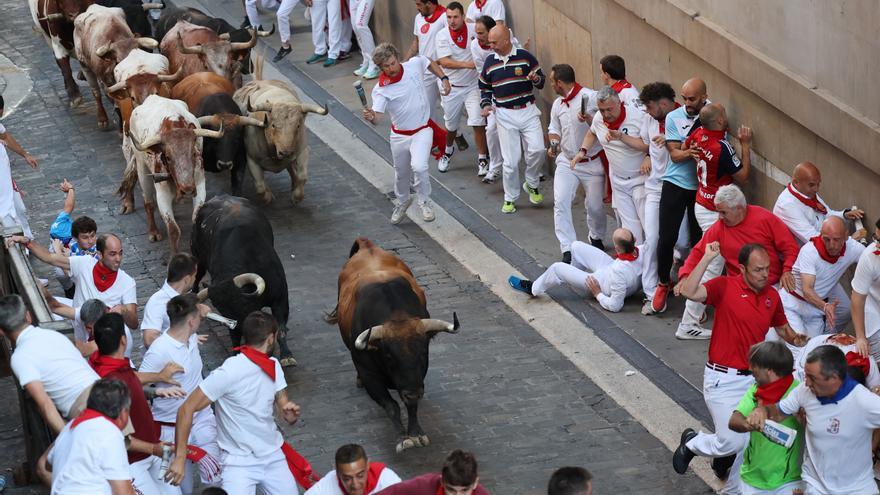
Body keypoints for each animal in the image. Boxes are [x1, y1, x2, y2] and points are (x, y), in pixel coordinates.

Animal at [191, 195, 294, 364]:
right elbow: (234, 337)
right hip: (198, 256)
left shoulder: (281, 298)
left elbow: (281, 329)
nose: (239, 327)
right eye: (220, 308)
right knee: (196, 276)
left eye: (241, 303)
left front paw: (287, 355)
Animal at [326, 237, 458, 454]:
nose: (412, 392)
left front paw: (416, 433)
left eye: (423, 352)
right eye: (388, 356)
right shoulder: (369, 375)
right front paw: (402, 438)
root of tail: (367, 245)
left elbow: (411, 405)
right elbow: (391, 406)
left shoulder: (417, 379)